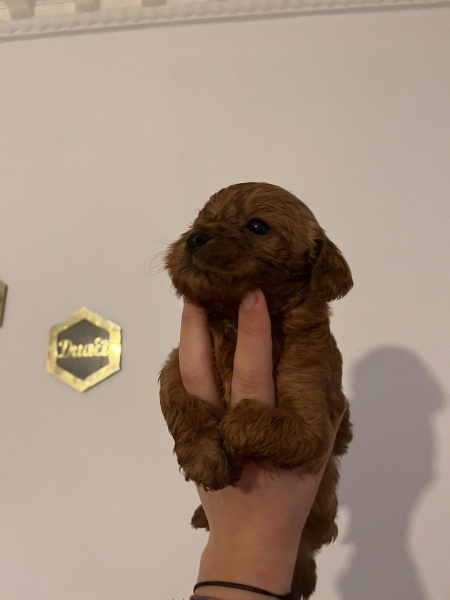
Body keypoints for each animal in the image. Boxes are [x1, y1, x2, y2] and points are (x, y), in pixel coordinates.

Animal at [160, 183, 354, 600]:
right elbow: (179, 401)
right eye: (200, 220)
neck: (232, 319)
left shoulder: (314, 422)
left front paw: (230, 438)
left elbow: (247, 419)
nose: (194, 237)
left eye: (257, 226)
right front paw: (204, 456)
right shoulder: (177, 362)